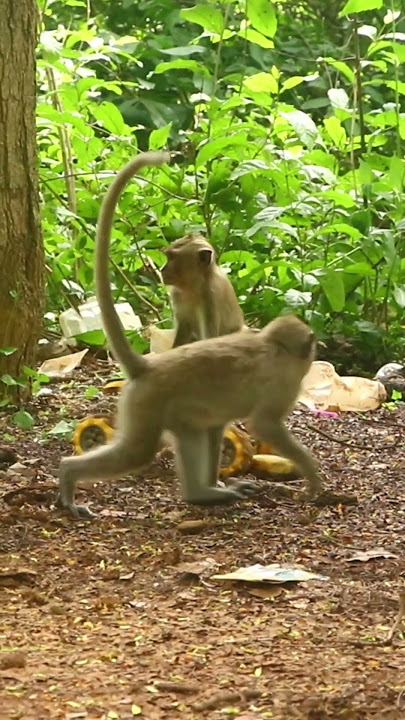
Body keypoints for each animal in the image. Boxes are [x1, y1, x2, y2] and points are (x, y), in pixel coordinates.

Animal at [58, 151, 322, 519]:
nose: (163, 268)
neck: (274, 344)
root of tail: (148, 367)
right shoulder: (283, 382)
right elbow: (265, 425)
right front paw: (313, 477)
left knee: (192, 430)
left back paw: (201, 492)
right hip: (147, 403)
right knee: (139, 451)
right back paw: (72, 475)